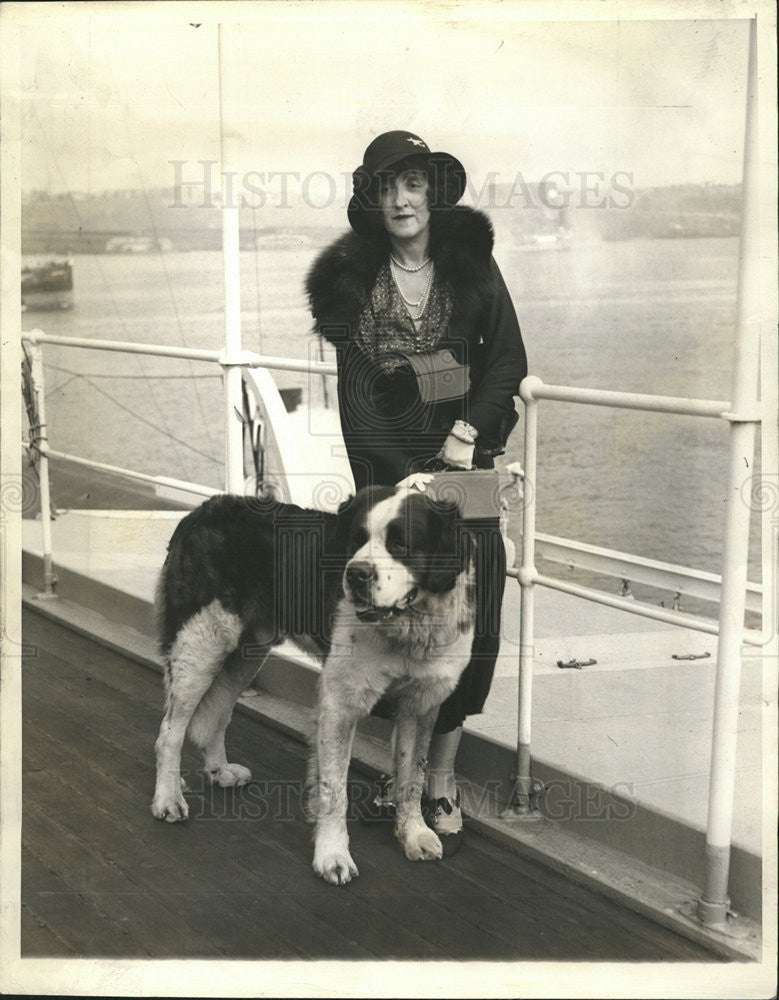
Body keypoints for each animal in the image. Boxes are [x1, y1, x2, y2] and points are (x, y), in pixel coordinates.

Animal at [149, 482, 472, 884]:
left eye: (400, 544)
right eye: (356, 540)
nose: (357, 575)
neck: (406, 626)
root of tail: (199, 512)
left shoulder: (422, 704)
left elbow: (412, 774)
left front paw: (413, 834)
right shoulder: (340, 704)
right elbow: (335, 788)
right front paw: (332, 855)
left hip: (247, 652)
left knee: (217, 715)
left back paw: (220, 770)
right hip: (202, 646)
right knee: (170, 732)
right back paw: (167, 799)